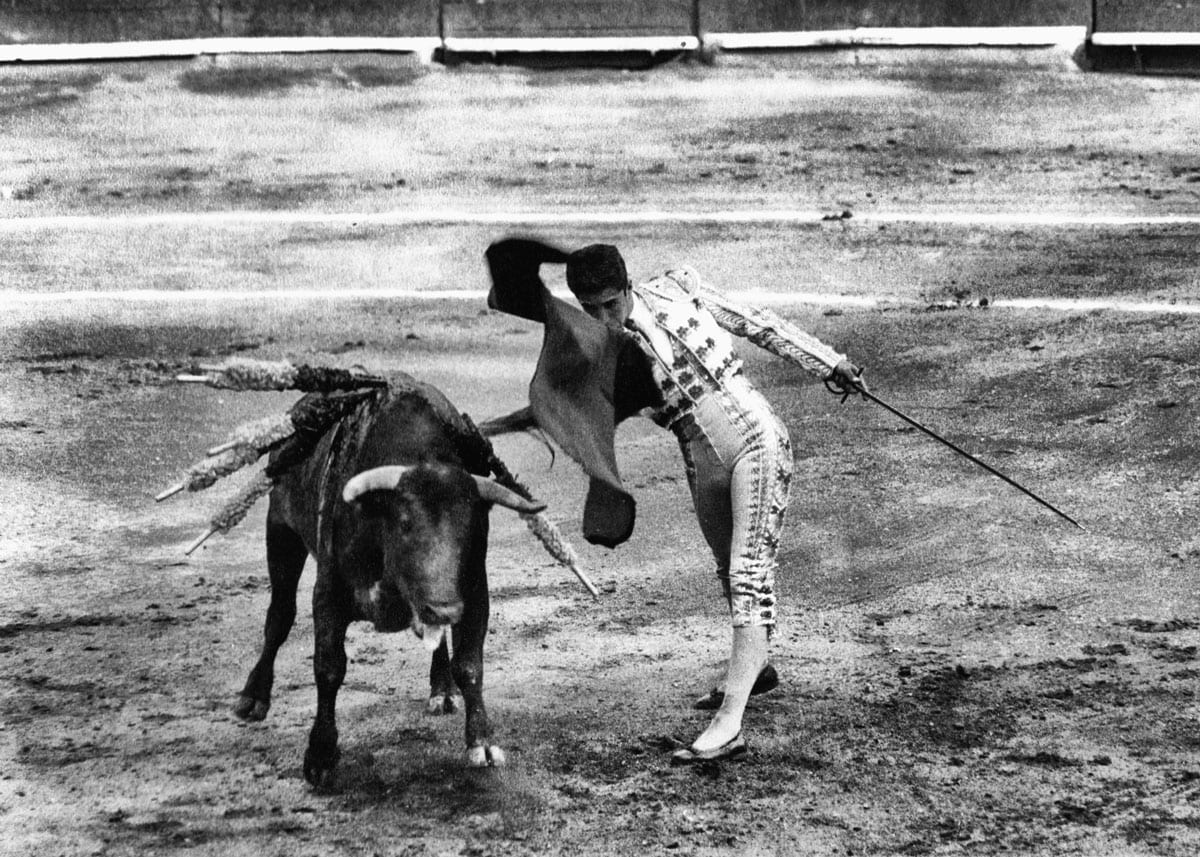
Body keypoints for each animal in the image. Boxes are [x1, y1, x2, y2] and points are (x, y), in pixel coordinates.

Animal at [230, 374, 543, 787]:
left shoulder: (475, 591)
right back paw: (253, 697)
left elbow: (470, 665)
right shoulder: (328, 592)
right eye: (405, 524)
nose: (443, 607)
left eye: (470, 528)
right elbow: (329, 667)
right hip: (280, 532)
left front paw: (482, 742)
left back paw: (441, 689)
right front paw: (320, 755)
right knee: (279, 617)